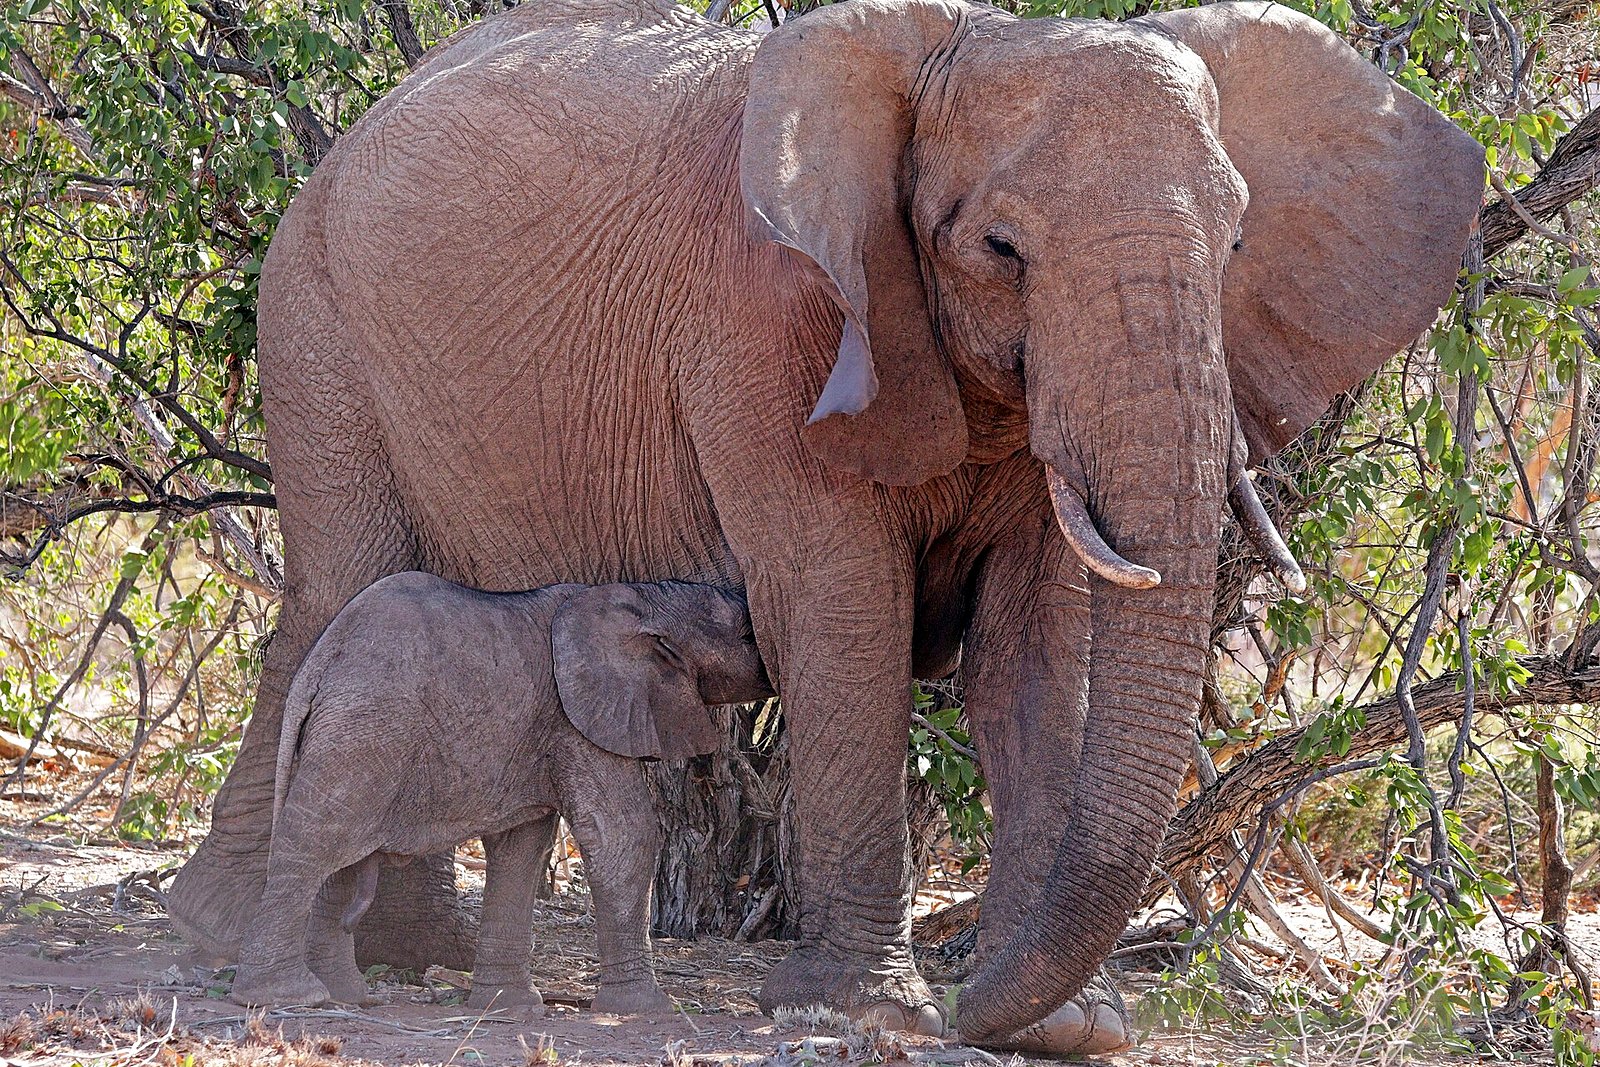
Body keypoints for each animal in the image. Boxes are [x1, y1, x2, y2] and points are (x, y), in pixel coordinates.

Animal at [230, 572, 770, 1012]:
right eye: (747, 635)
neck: (642, 594)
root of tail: (320, 662)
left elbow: (520, 846)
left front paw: (508, 1006)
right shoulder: (578, 720)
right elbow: (624, 834)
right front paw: (646, 1010)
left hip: (348, 731)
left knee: (338, 851)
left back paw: (347, 997)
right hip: (366, 731)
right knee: (318, 838)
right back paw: (287, 998)